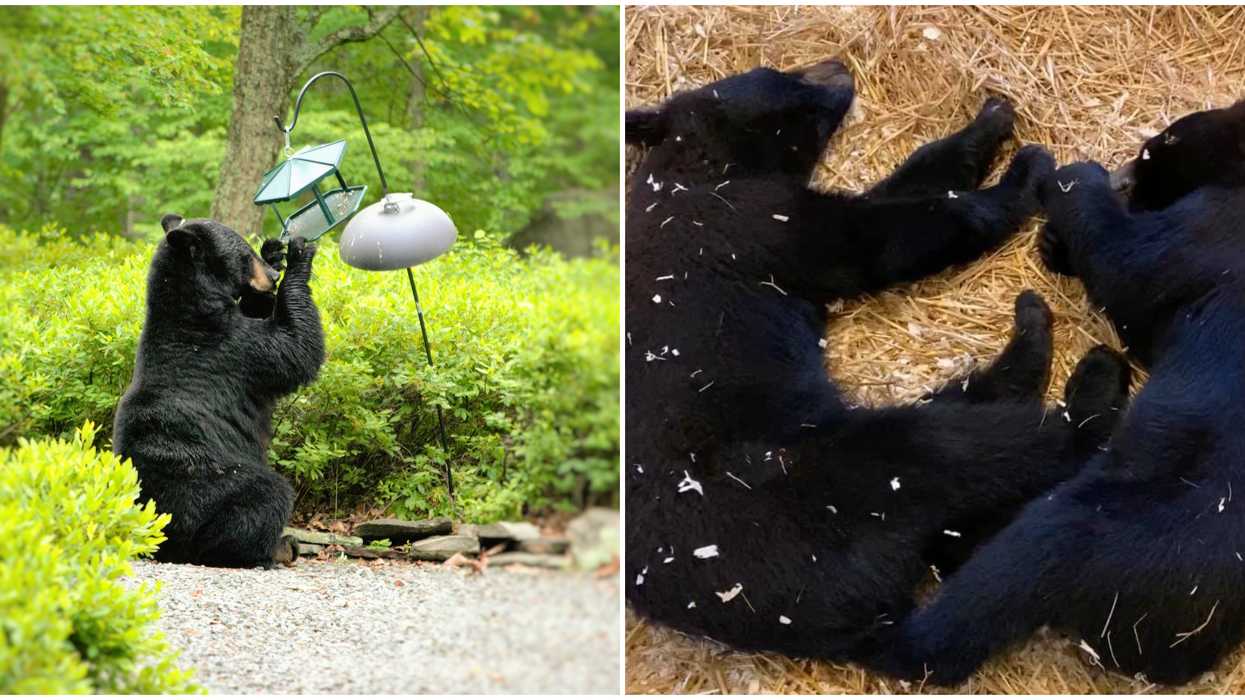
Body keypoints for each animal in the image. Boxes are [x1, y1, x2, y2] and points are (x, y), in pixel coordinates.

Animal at [112, 214, 325, 568]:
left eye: (251, 249)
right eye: (244, 255)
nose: (271, 276)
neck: (193, 309)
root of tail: (162, 537)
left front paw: (275, 252)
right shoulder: (233, 348)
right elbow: (294, 349)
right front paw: (298, 256)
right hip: (211, 483)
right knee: (265, 496)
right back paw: (274, 548)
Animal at [624, 59, 1131, 660]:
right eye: (787, 77)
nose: (837, 68)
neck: (701, 162)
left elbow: (903, 187)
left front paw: (991, 119)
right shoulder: (750, 220)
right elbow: (880, 236)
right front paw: (1025, 172)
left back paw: (1033, 341)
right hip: (815, 490)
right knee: (958, 447)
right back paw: (1088, 383)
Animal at [860, 100, 1245, 686]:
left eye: (1157, 149)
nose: (1125, 175)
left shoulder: (1207, 229)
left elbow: (1127, 268)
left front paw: (1077, 180)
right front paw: (1058, 240)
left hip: (1102, 535)